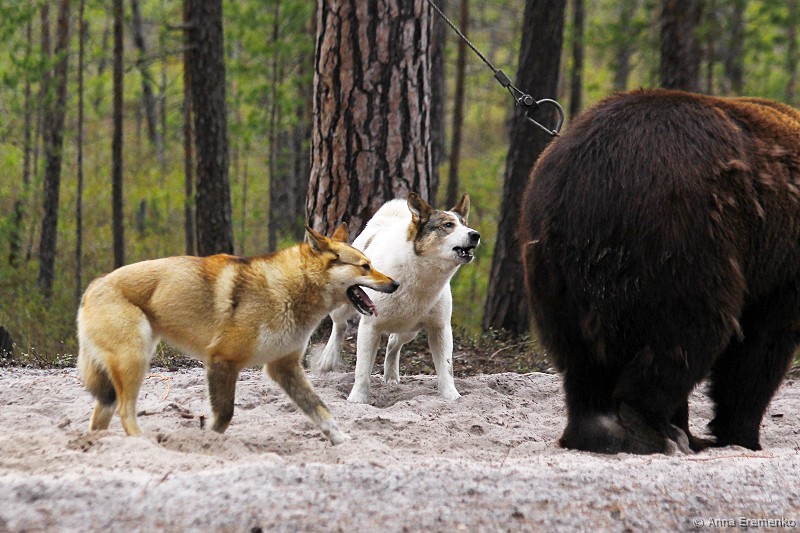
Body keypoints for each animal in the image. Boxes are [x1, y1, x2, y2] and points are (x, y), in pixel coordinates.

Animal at [77, 224, 398, 445]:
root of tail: (93, 286)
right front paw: (206, 439)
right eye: (365, 266)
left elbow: (320, 409)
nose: (395, 284)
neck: (287, 290)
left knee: (100, 418)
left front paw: (341, 441)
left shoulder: (284, 368)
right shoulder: (223, 361)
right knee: (125, 412)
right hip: (136, 361)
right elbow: (225, 414)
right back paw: (141, 441)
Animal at [315, 193, 480, 403]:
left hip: (410, 329)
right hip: (345, 304)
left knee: (393, 343)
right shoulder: (370, 327)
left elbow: (446, 367)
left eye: (465, 224)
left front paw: (452, 396)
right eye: (448, 225)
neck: (418, 276)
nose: (475, 234)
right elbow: (362, 369)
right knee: (339, 326)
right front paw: (357, 398)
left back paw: (391, 376)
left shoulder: (440, 328)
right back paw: (328, 359)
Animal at [520, 89, 800, 454]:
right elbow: (760, 347)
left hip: (552, 265)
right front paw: (741, 434)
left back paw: (601, 430)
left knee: (581, 359)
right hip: (682, 236)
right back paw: (653, 427)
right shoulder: (778, 264)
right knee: (691, 330)